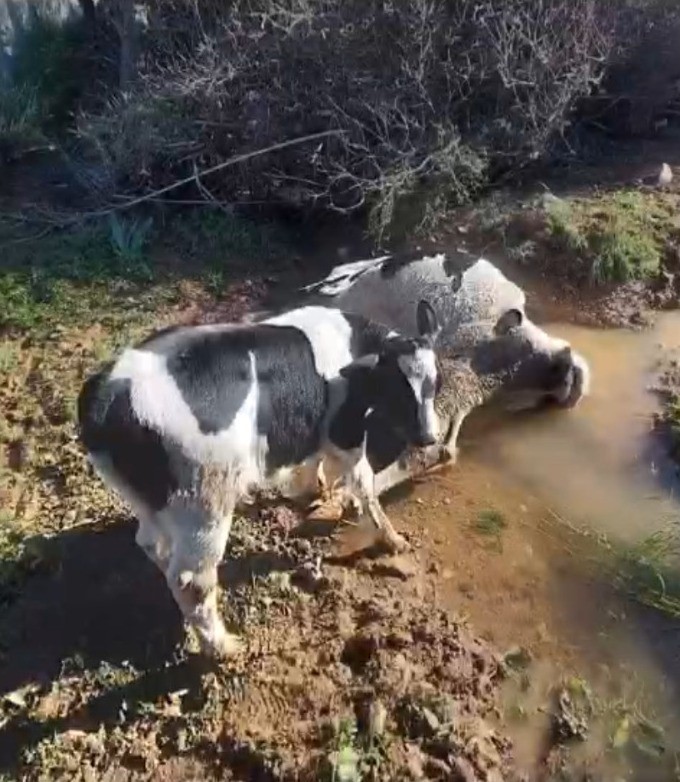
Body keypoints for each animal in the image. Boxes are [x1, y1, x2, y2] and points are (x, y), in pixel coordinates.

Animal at [78, 304, 440, 660]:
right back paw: (224, 648)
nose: (429, 437)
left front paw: (315, 490)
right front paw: (393, 540)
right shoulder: (344, 431)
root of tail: (107, 395)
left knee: (151, 543)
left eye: (435, 384)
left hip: (149, 499)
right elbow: (364, 482)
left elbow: (314, 461)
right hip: (205, 497)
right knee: (191, 579)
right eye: (397, 388)